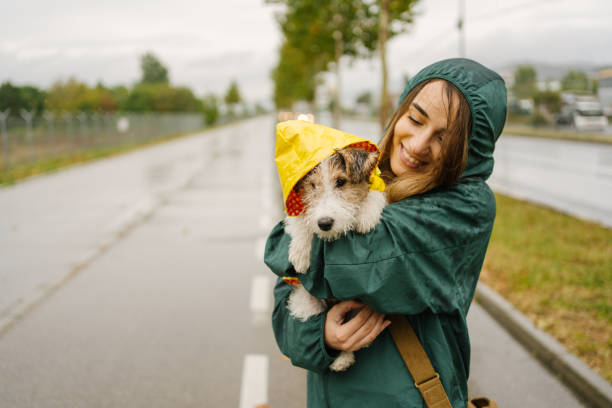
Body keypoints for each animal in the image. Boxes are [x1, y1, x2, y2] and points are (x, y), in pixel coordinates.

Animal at [284, 145, 388, 372]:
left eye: (341, 181)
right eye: (313, 185)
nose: (324, 223)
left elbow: (375, 194)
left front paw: (366, 215)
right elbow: (301, 220)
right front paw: (300, 253)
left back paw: (343, 360)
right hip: (307, 302)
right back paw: (341, 360)